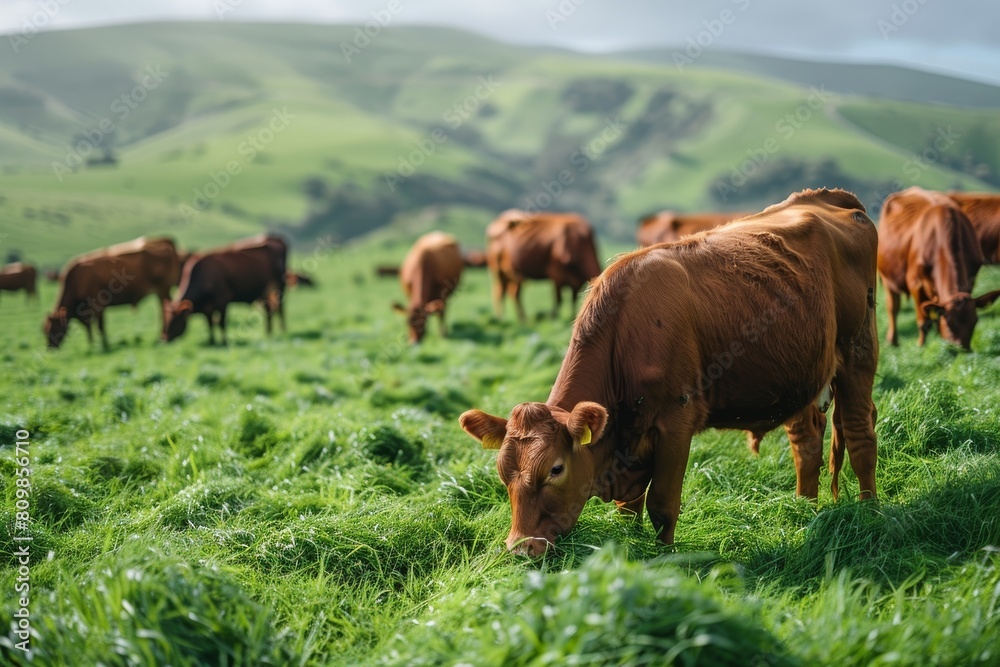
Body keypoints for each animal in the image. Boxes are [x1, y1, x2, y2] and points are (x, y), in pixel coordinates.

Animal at [44, 237, 181, 349]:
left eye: (53, 328)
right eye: (44, 330)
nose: (50, 348)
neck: (77, 279)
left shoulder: (97, 305)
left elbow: (99, 327)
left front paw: (103, 345)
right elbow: (91, 327)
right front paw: (93, 344)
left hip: (163, 291)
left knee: (164, 312)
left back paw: (162, 337)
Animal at [460, 188, 879, 555]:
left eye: (556, 469)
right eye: (503, 472)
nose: (520, 548)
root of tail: (825, 198)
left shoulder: (676, 422)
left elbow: (662, 506)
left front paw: (664, 561)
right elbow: (628, 509)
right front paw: (629, 545)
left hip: (859, 350)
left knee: (860, 434)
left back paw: (870, 515)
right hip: (801, 373)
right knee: (806, 441)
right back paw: (803, 513)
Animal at [878, 186, 1000, 351]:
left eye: (975, 322)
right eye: (949, 324)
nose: (961, 351)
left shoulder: (971, 277)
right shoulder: (916, 283)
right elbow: (923, 321)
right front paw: (921, 347)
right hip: (887, 278)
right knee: (893, 308)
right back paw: (893, 341)